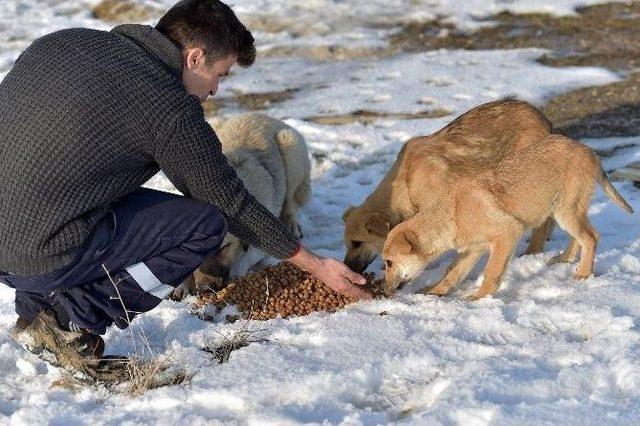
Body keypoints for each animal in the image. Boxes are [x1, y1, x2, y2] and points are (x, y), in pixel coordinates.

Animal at [342, 99, 552, 272]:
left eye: (358, 243)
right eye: (346, 243)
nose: (347, 267)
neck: (407, 184)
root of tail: (541, 116)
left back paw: (534, 250)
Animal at [382, 136, 632, 300]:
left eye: (389, 262)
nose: (384, 289)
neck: (452, 214)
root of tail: (590, 151)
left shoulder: (507, 234)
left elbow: (491, 271)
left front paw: (480, 297)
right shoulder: (472, 250)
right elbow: (452, 273)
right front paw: (434, 292)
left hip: (566, 209)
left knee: (590, 237)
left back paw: (583, 274)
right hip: (564, 210)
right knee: (580, 237)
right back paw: (565, 259)